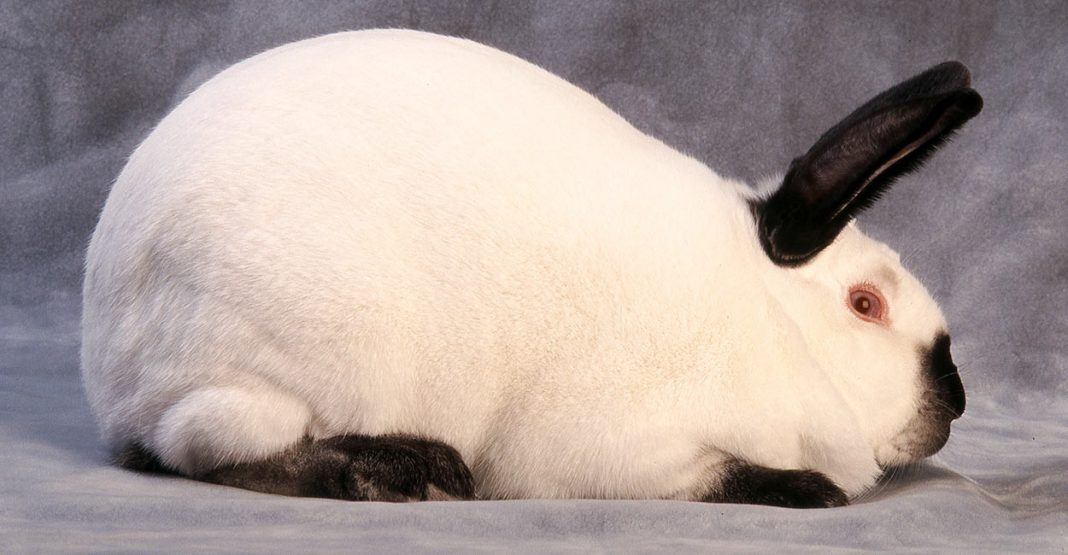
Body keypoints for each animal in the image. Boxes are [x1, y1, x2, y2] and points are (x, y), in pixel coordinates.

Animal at [81, 29, 980, 508]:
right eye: (865, 304)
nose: (957, 398)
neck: (769, 316)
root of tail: (108, 358)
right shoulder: (618, 447)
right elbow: (717, 473)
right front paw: (809, 489)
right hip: (299, 354)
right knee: (205, 446)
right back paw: (403, 468)